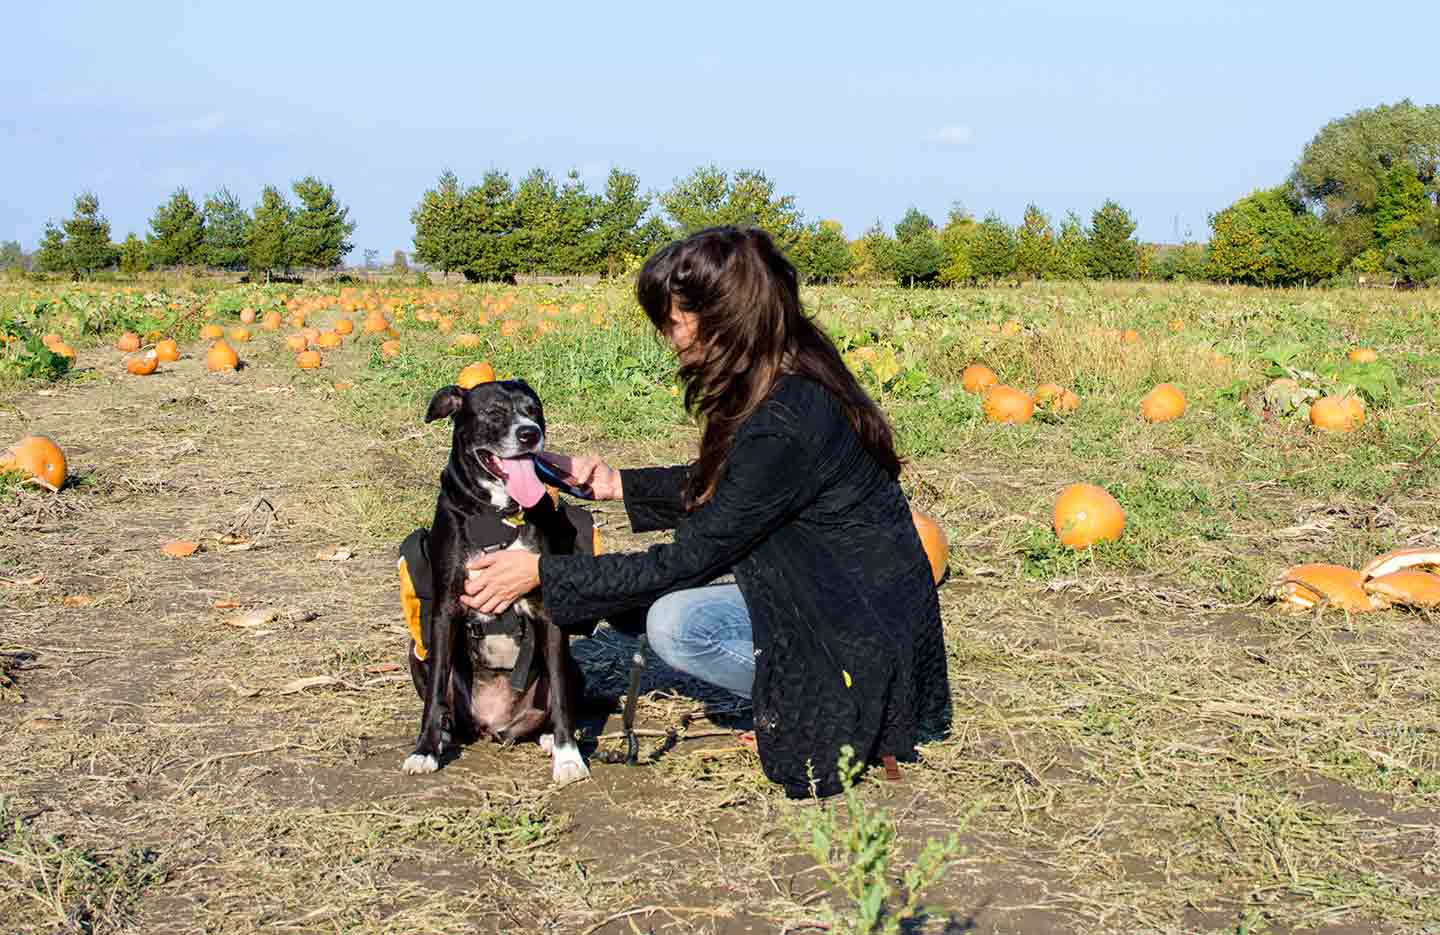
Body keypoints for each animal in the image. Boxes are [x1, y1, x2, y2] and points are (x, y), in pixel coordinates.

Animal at [400, 374, 590, 783]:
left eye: (534, 410)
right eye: (493, 413)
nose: (530, 433)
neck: (501, 515)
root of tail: (495, 724)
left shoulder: (548, 611)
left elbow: (561, 695)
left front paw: (568, 756)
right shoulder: (445, 610)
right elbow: (435, 691)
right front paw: (424, 749)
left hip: (573, 667)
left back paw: (548, 736)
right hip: (417, 650)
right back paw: (445, 733)